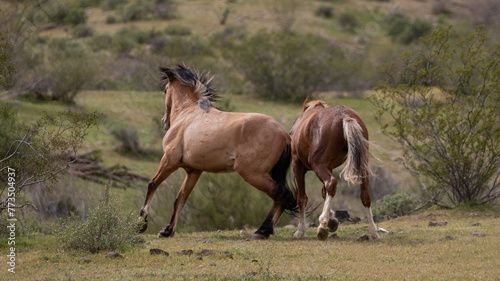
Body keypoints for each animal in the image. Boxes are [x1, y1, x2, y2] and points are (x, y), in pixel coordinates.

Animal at [137, 64, 296, 238]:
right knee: (282, 196)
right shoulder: (193, 171)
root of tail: (284, 134)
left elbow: (152, 184)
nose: (164, 122)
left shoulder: (169, 161)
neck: (187, 113)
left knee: (280, 193)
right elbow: (180, 199)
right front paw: (167, 230)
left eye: (165, 90)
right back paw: (266, 230)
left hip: (252, 173)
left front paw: (141, 223)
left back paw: (262, 231)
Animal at [290, 97, 378, 240]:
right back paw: (373, 232)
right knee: (365, 194)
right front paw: (332, 220)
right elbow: (324, 192)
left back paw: (322, 226)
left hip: (317, 165)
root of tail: (345, 116)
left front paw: (301, 231)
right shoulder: (329, 167)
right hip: (361, 167)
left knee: (331, 183)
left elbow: (302, 197)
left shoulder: (298, 165)